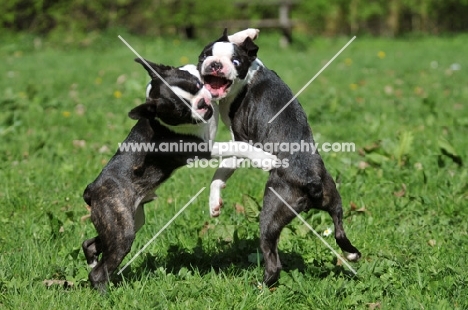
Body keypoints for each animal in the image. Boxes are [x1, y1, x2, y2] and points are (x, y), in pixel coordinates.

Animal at [82, 29, 276, 290]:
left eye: (197, 85)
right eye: (181, 112)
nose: (203, 103)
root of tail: (92, 189)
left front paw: (245, 34)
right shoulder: (202, 148)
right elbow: (239, 144)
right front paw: (265, 158)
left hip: (130, 221)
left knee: (90, 243)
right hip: (121, 229)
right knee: (101, 270)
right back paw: (105, 290)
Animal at [197, 29, 362, 286]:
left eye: (235, 62)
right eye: (205, 55)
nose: (215, 64)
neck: (249, 76)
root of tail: (311, 180)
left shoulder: (240, 139)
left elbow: (222, 169)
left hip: (271, 213)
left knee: (273, 260)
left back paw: (261, 285)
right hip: (334, 198)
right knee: (339, 231)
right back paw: (352, 254)